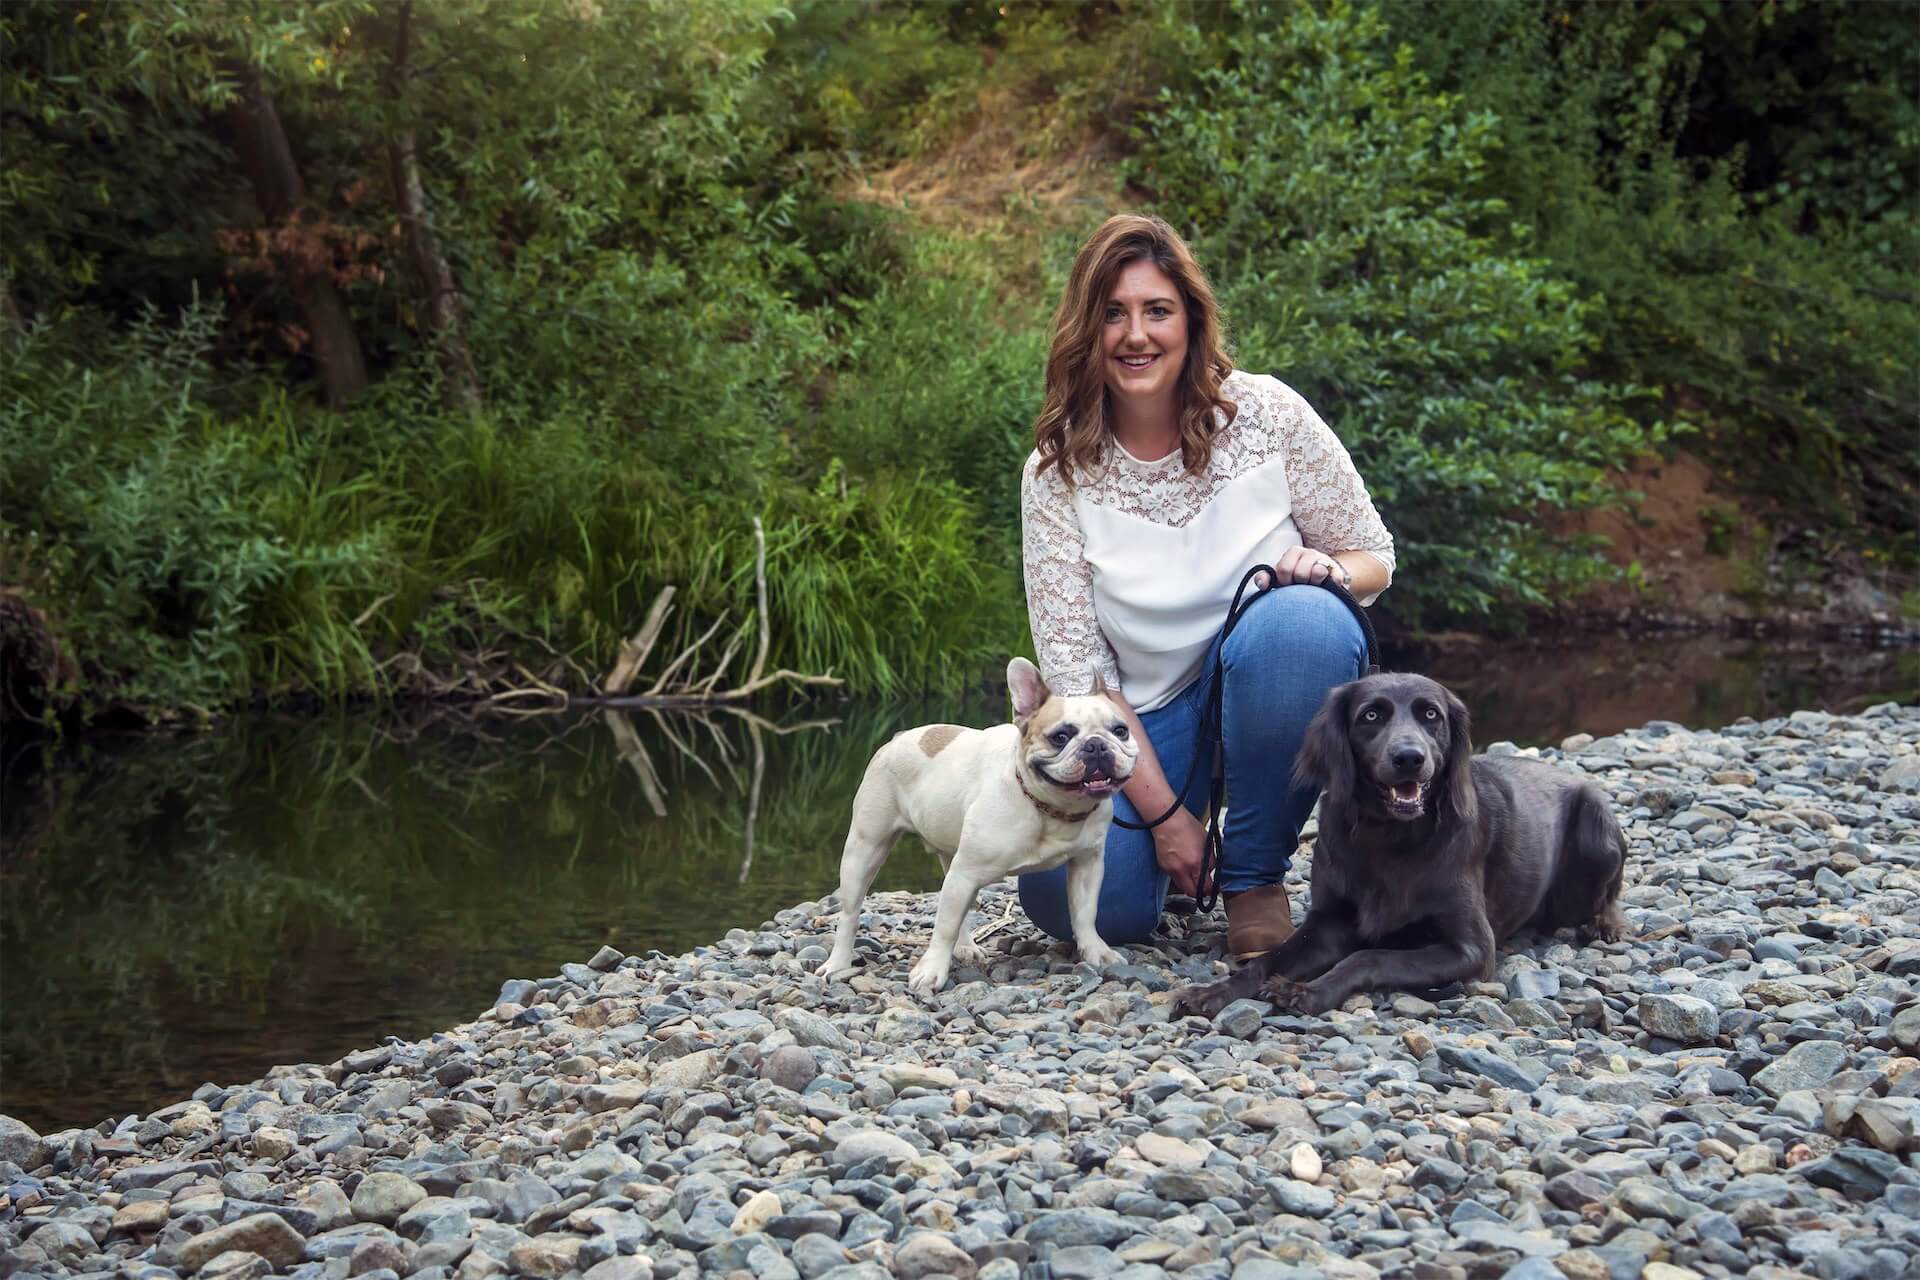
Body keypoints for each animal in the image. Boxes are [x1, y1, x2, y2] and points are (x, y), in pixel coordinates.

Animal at [1167, 671, 1620, 1020]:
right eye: (1371, 715)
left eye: (1431, 714)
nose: (1409, 757)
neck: (1388, 837)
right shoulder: (1327, 922)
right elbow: (1265, 960)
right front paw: (1212, 992)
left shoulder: (1472, 948)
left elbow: (1370, 956)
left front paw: (1306, 991)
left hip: (1597, 822)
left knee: (1610, 892)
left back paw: (1607, 924)